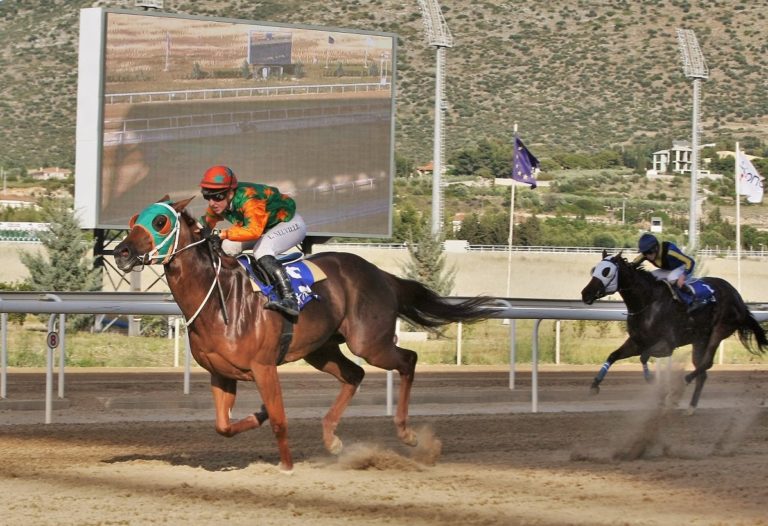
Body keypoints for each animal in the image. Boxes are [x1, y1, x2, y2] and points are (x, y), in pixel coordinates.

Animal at [114, 199, 498, 474]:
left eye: (160, 222)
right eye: (133, 218)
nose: (122, 252)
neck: (219, 298)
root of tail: (382, 275)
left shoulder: (264, 367)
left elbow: (280, 421)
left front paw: (286, 467)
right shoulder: (221, 373)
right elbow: (224, 426)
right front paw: (259, 414)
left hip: (368, 342)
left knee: (407, 360)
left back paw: (406, 433)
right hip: (321, 349)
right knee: (354, 374)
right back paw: (332, 440)